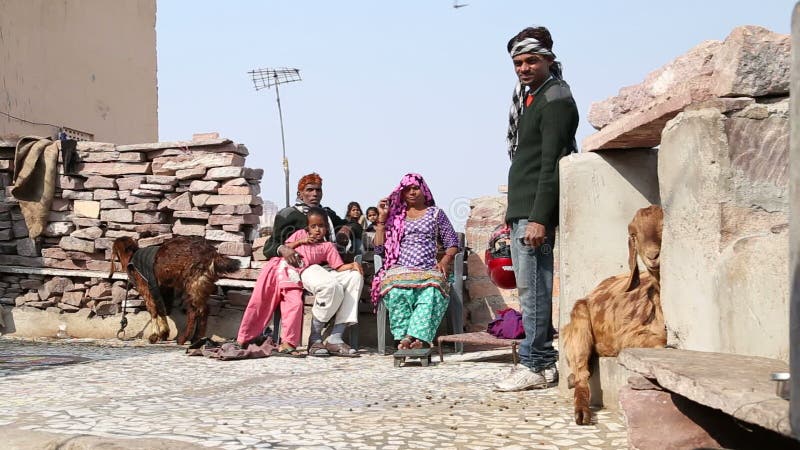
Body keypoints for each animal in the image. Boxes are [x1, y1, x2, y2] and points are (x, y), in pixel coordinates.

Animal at [109, 236, 241, 344]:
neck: (132, 256)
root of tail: (212, 254)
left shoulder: (146, 289)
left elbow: (153, 311)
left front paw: (154, 336)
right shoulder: (162, 289)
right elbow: (162, 309)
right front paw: (164, 333)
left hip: (192, 285)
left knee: (194, 312)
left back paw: (183, 339)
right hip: (201, 286)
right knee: (204, 310)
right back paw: (195, 338)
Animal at [560, 205, 664, 426]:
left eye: (664, 224)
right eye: (634, 234)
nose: (653, 256)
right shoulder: (627, 337)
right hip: (579, 324)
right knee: (582, 372)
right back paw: (582, 412)